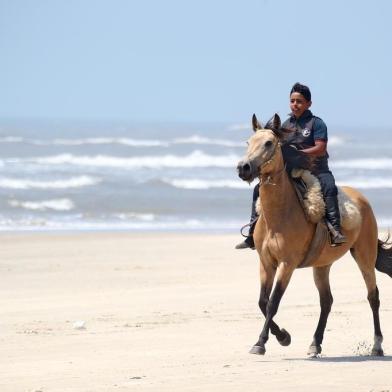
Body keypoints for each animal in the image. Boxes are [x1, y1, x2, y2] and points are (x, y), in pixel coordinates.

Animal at [236, 112, 392, 356]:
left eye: (269, 143)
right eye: (248, 142)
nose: (244, 167)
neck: (279, 215)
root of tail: (362, 199)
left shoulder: (287, 264)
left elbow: (272, 302)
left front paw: (263, 342)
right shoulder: (266, 262)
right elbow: (262, 301)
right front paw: (282, 336)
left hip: (364, 257)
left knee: (373, 296)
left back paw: (377, 345)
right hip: (322, 265)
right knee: (326, 301)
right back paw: (315, 343)